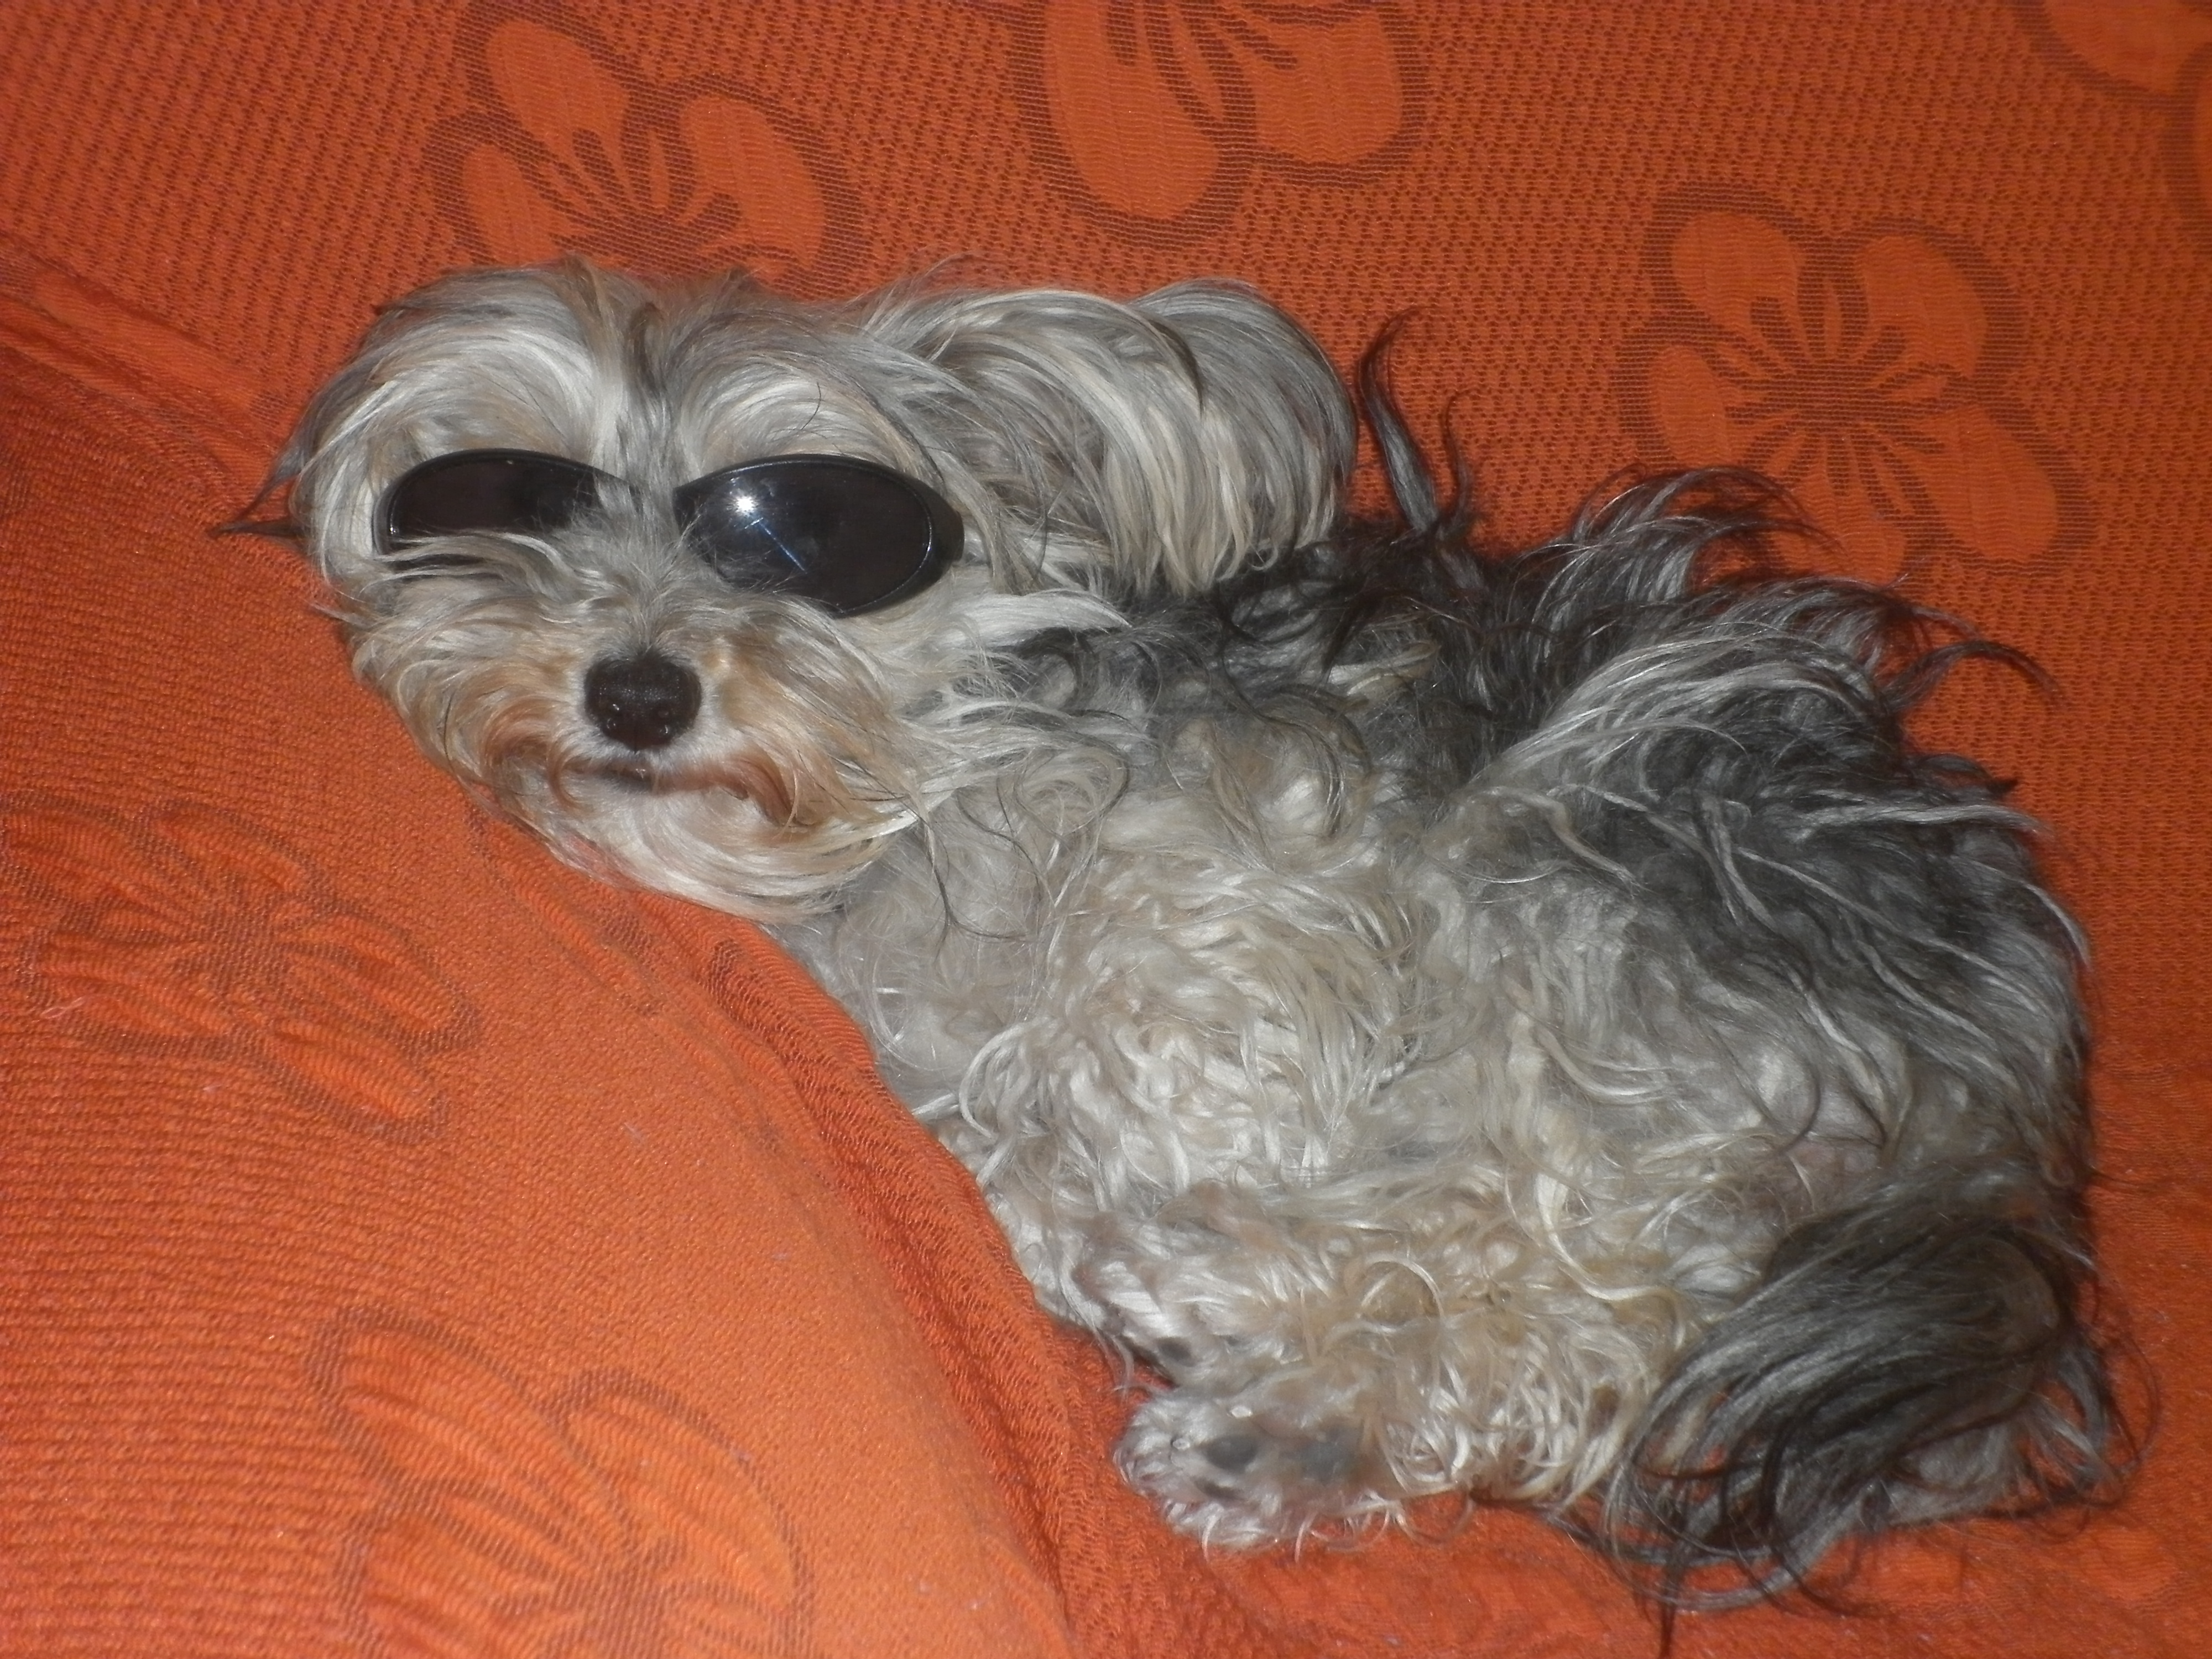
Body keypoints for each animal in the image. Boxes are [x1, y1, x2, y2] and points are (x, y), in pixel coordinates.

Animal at [272, 259, 2124, 1604]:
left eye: (803, 533)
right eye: (494, 500)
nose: (641, 690)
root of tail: (2012, 1129)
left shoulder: (1238, 933)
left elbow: (1080, 1095)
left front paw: (1106, 1206)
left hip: (1578, 903)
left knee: (1578, 1319)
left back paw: (1216, 1332)